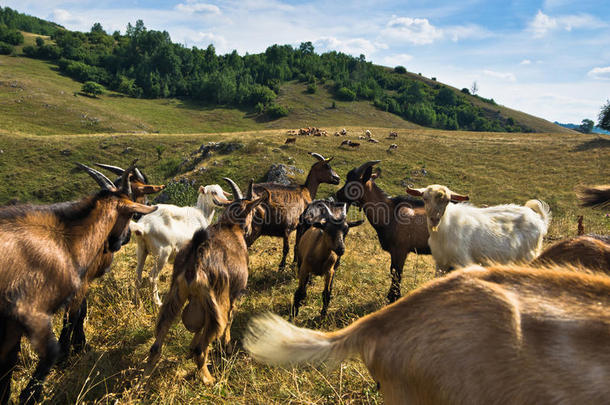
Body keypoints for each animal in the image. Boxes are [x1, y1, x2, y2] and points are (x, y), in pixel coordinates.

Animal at [0, 162, 156, 404]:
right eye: (140, 196)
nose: (122, 240)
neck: (68, 236)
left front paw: (79, 346)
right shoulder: (67, 290)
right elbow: (74, 316)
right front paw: (71, 352)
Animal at [145, 178, 268, 384]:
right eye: (253, 211)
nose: (251, 229)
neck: (229, 226)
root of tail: (196, 260)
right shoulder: (233, 295)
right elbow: (230, 321)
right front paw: (228, 347)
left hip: (176, 295)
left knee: (158, 341)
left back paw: (144, 379)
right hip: (218, 303)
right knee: (202, 348)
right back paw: (209, 379)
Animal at [332, 159, 428, 302]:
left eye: (353, 182)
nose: (338, 194)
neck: (390, 214)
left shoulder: (401, 249)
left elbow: (397, 272)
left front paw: (394, 297)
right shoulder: (394, 251)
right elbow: (393, 271)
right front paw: (391, 296)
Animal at [406, 185, 548, 274]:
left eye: (447, 200)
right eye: (424, 198)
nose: (434, 219)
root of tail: (540, 219)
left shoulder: (464, 262)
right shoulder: (441, 264)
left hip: (530, 256)